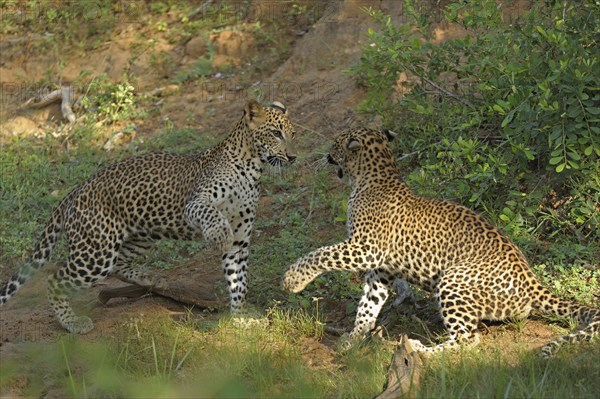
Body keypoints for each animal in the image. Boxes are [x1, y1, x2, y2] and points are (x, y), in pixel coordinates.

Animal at [1, 99, 296, 334]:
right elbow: (210, 214)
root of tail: (74, 191)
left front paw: (240, 318)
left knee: (119, 265)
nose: (293, 157)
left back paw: (151, 279)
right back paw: (72, 322)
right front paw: (218, 233)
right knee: (56, 279)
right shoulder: (195, 203)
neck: (253, 168)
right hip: (96, 252)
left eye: (292, 134)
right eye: (275, 133)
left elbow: (238, 280)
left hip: (139, 237)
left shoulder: (241, 238)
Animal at [282, 126, 600, 358]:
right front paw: (354, 337)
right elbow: (369, 304)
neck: (373, 177)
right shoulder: (380, 267)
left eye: (337, 143)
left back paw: (421, 350)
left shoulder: (364, 249)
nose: (326, 154)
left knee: (467, 340)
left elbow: (321, 254)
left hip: (452, 280)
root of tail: (533, 281)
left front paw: (293, 279)